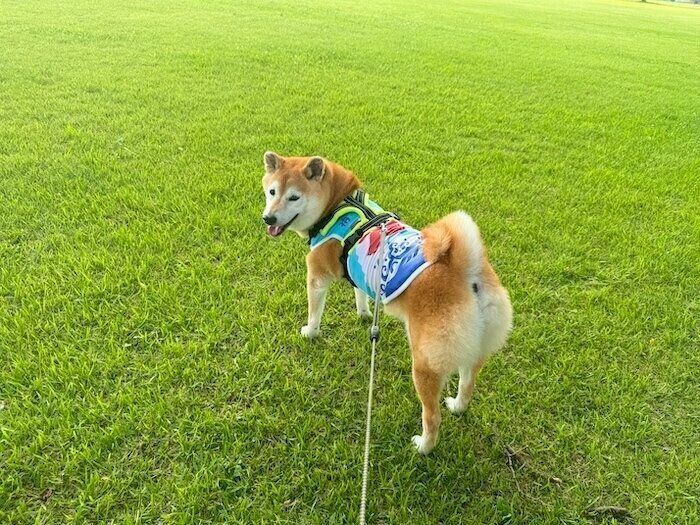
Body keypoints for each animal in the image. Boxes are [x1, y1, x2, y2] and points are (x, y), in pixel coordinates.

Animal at [261, 152, 512, 454]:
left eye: (294, 197)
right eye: (272, 191)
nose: (268, 218)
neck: (338, 203)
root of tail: (467, 274)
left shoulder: (318, 276)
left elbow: (314, 312)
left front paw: (310, 332)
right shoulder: (357, 269)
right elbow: (360, 295)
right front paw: (364, 314)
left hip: (425, 363)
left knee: (432, 415)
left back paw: (423, 446)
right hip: (475, 348)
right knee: (468, 384)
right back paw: (457, 406)